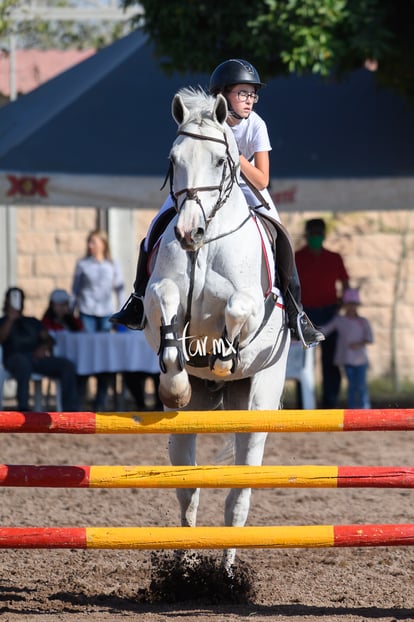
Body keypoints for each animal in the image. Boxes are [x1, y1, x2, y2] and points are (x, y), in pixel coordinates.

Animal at [146, 89, 292, 576]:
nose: (188, 232)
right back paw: (187, 568)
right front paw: (174, 379)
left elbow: (238, 306)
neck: (206, 245)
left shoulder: (250, 300)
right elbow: (167, 308)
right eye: (174, 160)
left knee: (238, 498)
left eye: (218, 161)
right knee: (188, 492)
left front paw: (226, 354)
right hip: (189, 421)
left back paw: (227, 574)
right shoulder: (159, 290)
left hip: (258, 400)